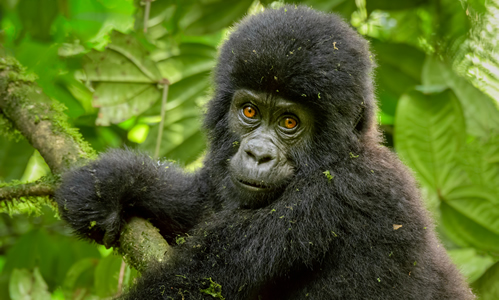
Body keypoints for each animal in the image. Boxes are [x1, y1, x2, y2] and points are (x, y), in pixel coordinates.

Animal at [56, 4, 474, 300]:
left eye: (290, 122)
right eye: (250, 112)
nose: (258, 155)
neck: (342, 154)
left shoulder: (340, 193)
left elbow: (194, 286)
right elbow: (200, 201)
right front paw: (109, 182)